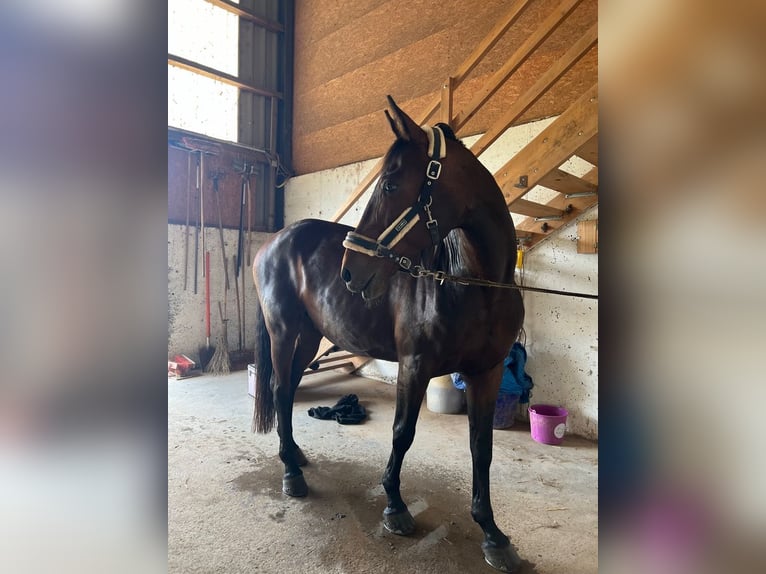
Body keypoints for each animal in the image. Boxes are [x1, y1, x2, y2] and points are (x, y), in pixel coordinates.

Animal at [252, 95, 528, 572]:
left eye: (390, 185)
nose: (349, 272)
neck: (472, 284)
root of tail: (272, 242)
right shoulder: (414, 366)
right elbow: (403, 432)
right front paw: (395, 507)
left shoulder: (487, 372)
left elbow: (482, 446)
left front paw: (492, 533)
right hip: (283, 332)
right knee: (279, 387)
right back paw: (290, 472)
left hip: (309, 337)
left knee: (286, 392)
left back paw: (296, 455)